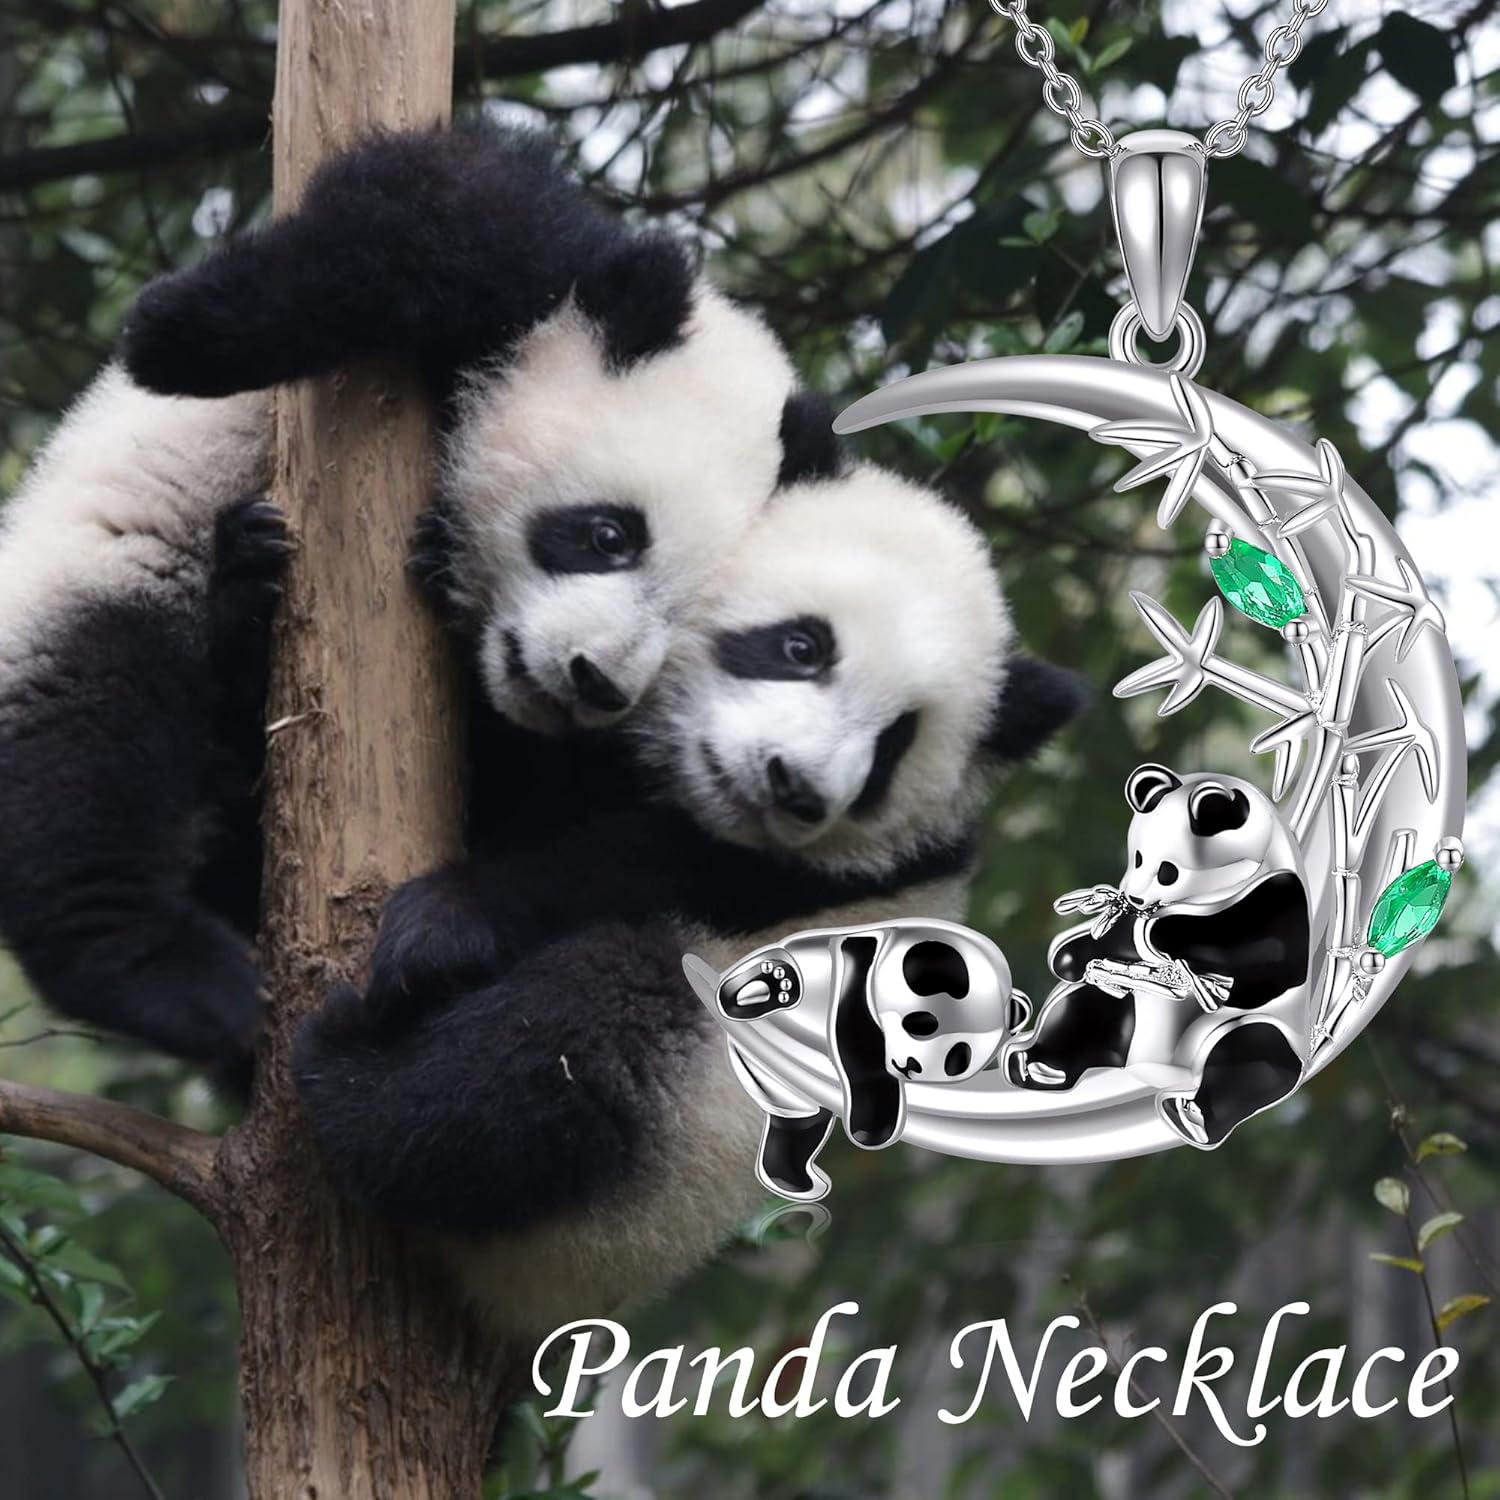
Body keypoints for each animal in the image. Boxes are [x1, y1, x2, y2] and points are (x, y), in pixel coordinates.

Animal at [0, 125, 805, 1063]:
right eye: (611, 536)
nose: (595, 683)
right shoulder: (539, 278)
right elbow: (437, 211)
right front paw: (185, 327)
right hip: (97, 573)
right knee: (81, 742)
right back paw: (183, 981)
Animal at [290, 460, 1089, 1339]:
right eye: (801, 647)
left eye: (893, 745)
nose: (790, 784)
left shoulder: (802, 871)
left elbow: (615, 868)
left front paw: (440, 925)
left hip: (640, 1166)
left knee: (573, 1036)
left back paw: (352, 1080)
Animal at [1004, 763, 1312, 1148]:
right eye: (1137, 858)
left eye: (1169, 871)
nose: (1135, 898)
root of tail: (1157, 1070)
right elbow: (1109, 944)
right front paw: (1070, 956)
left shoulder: (1278, 892)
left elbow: (1279, 959)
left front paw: (1167, 933)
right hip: (1127, 1009)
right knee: (1083, 1008)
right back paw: (1040, 1067)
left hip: (1258, 1028)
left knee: (1252, 1057)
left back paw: (1192, 1116)